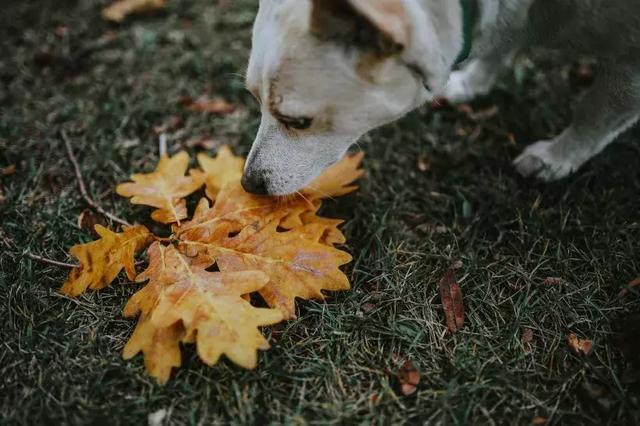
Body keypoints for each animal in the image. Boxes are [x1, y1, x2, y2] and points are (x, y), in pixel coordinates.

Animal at [241, 0, 640, 196]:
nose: (248, 185)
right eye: (254, 99)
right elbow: (502, 47)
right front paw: (472, 84)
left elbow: (595, 114)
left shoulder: (629, 65)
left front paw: (557, 157)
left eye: (297, 122)